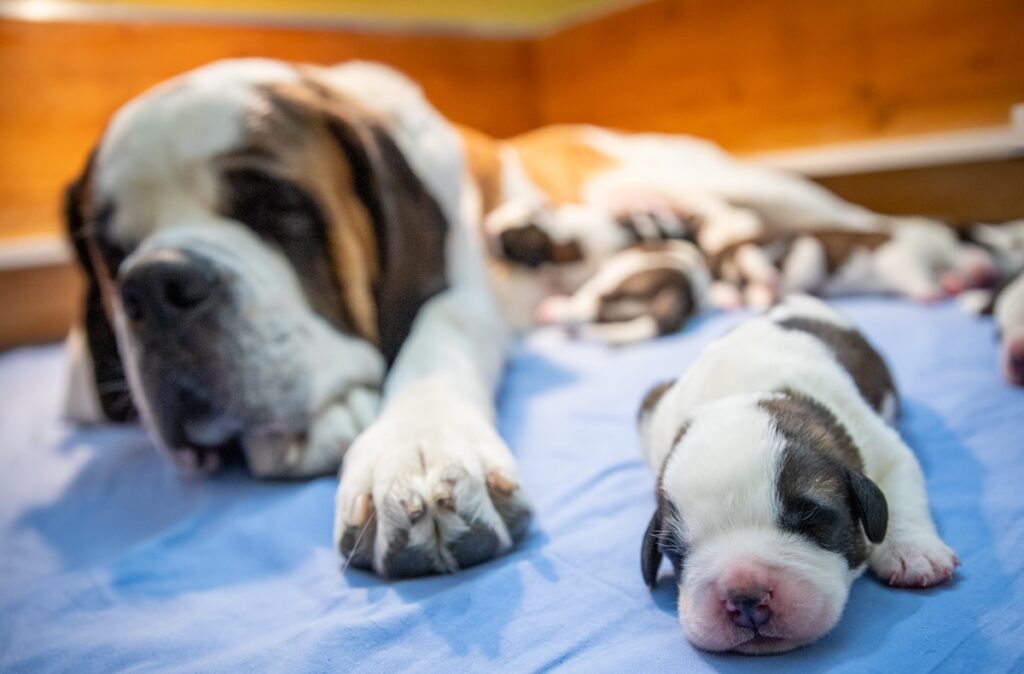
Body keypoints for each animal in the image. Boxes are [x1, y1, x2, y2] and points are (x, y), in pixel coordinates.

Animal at [66, 57, 966, 577]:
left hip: (760, 189)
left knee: (874, 222)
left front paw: (416, 453)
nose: (156, 287)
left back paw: (966, 261)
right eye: (110, 251)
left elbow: (434, 343)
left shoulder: (462, 285)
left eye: (275, 205)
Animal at [634, 295, 954, 651]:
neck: (743, 394)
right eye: (675, 551)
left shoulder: (882, 445)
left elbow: (901, 492)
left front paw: (913, 552)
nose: (745, 597)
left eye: (811, 518)